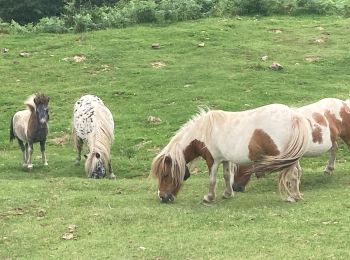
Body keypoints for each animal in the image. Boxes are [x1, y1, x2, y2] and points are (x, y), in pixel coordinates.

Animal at [149, 104, 310, 203]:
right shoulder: (225, 159)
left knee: (293, 174)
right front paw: (228, 194)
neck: (204, 132)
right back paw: (296, 195)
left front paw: (209, 197)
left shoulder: (212, 160)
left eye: (165, 174)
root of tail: (294, 116)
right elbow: (227, 176)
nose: (162, 197)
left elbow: (212, 180)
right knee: (297, 173)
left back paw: (293, 197)